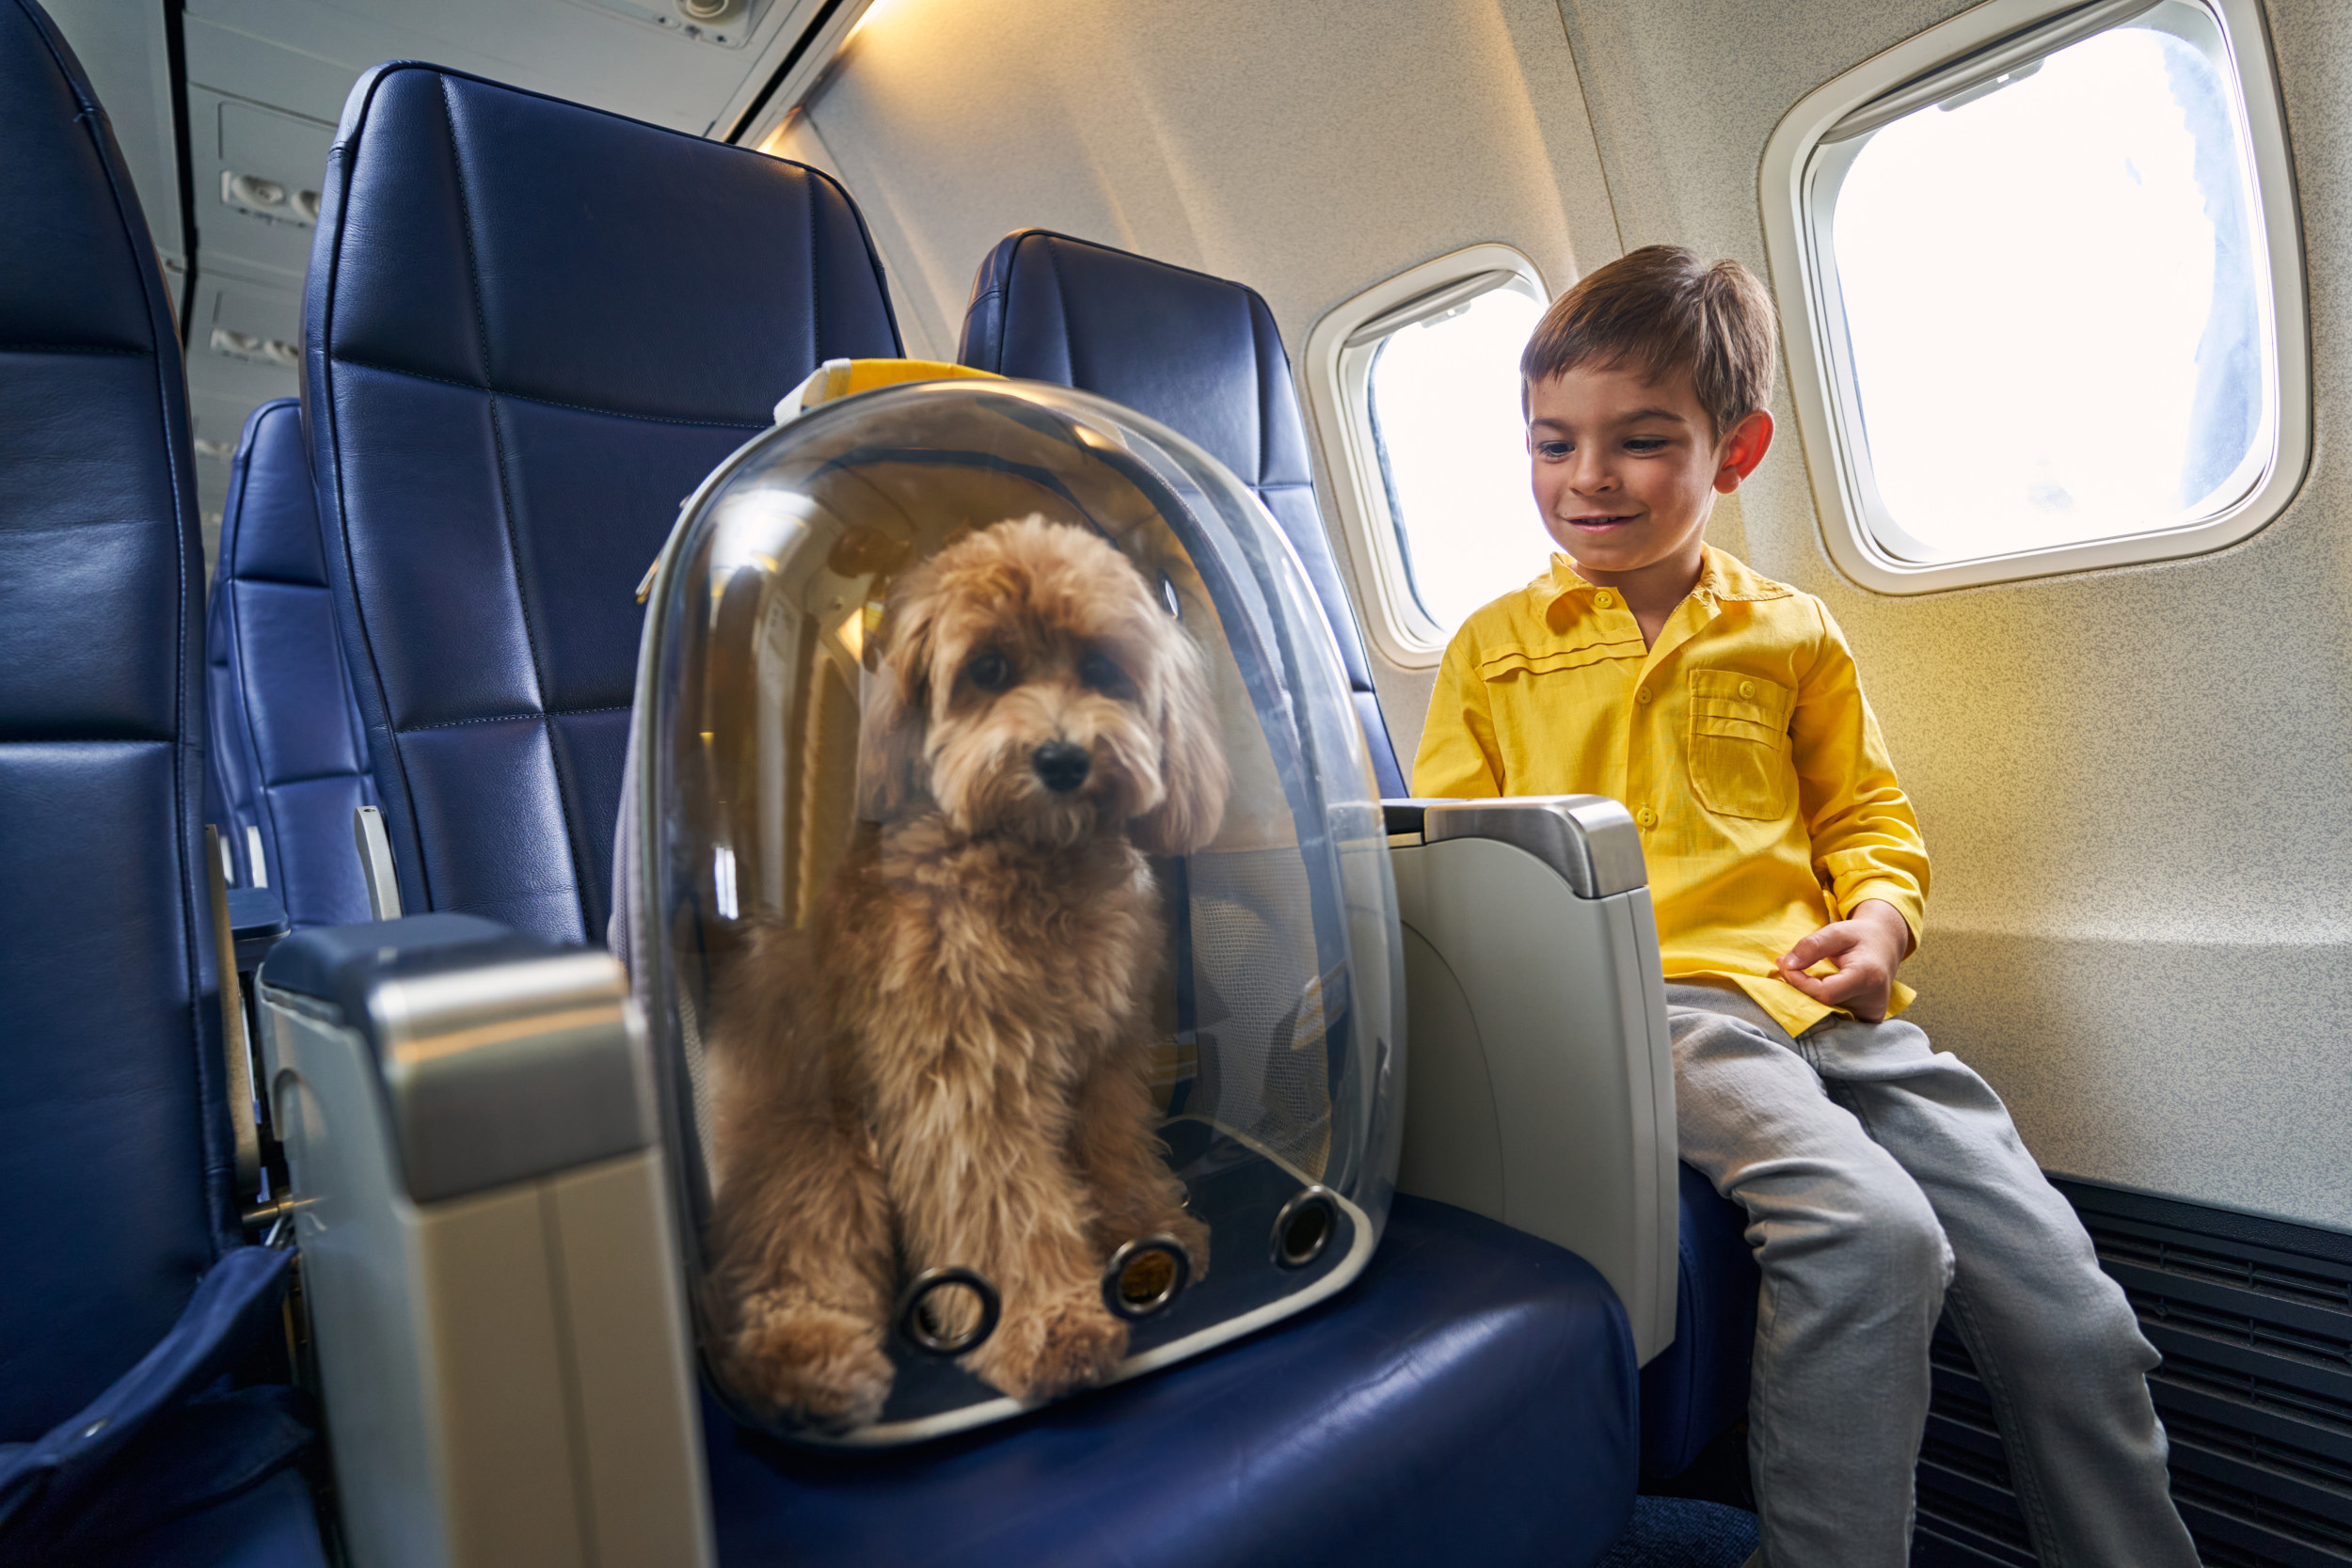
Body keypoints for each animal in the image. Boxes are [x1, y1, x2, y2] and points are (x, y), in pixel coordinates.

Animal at [701, 516, 1232, 1438]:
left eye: (1103, 668)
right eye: (987, 670)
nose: (1062, 758)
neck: (1032, 860)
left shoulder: (1106, 1056)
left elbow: (1116, 1150)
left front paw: (1145, 1238)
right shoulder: (965, 1078)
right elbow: (1002, 1206)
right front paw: (1051, 1324)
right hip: (819, 1145)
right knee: (798, 1259)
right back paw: (809, 1364)